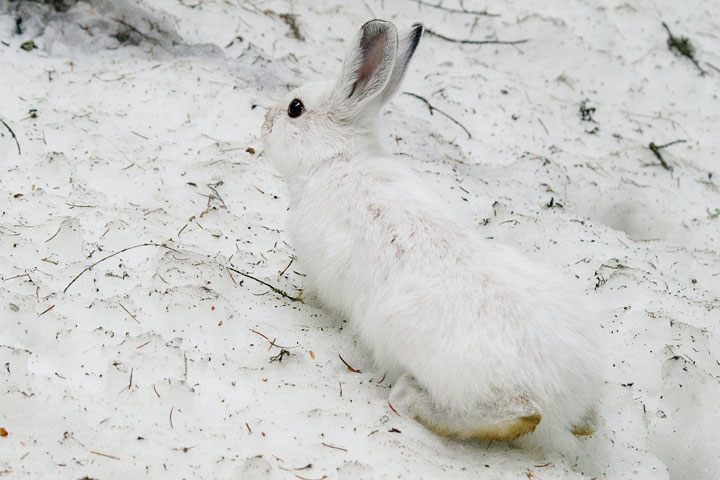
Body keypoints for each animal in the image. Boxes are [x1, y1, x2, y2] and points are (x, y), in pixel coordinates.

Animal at [262, 17, 604, 446]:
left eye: (295, 109)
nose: (265, 119)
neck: (338, 159)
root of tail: (566, 385)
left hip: (441, 363)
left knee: (522, 415)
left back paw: (412, 400)